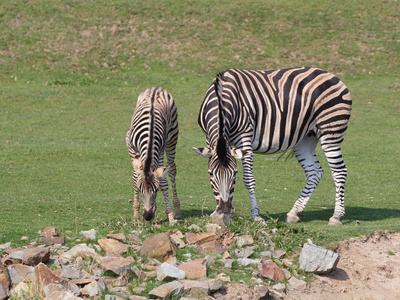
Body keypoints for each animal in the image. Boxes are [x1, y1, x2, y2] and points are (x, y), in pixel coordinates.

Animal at [126, 86, 181, 223]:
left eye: (156, 190)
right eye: (140, 189)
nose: (147, 216)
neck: (149, 137)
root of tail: (157, 88)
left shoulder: (160, 150)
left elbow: (163, 181)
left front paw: (170, 216)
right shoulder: (129, 142)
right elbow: (134, 177)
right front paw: (136, 214)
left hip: (172, 140)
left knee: (172, 170)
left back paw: (177, 210)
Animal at [194, 66, 354, 225]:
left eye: (235, 173)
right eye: (210, 174)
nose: (225, 209)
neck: (222, 99)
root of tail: (331, 75)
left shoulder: (244, 137)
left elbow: (248, 179)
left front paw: (256, 215)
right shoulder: (209, 139)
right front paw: (217, 214)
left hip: (331, 131)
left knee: (339, 171)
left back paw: (336, 216)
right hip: (306, 138)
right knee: (314, 171)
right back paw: (293, 213)